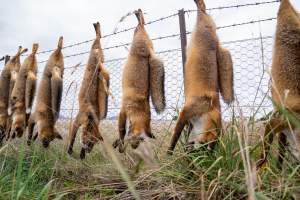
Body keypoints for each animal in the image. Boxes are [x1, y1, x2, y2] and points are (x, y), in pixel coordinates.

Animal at [67, 21, 109, 159]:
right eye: (90, 142)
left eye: (94, 144)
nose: (89, 150)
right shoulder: (76, 121)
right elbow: (72, 138)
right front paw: (70, 151)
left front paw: (81, 155)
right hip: (95, 51)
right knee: (97, 39)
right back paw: (97, 28)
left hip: (101, 56)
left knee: (99, 37)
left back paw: (97, 28)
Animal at [112, 9, 165, 153]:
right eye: (137, 139)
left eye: (141, 142)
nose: (134, 147)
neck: (138, 106)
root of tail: (149, 53)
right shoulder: (123, 111)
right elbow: (121, 131)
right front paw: (120, 144)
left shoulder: (124, 112)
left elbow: (121, 134)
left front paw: (118, 144)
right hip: (138, 41)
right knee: (141, 25)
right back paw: (138, 15)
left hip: (138, 37)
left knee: (140, 25)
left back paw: (138, 14)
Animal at [166, 0, 234, 154]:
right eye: (207, 144)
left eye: (211, 147)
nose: (208, 155)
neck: (207, 109)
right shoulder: (186, 111)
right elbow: (174, 137)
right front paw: (168, 153)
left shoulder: (189, 121)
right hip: (207, 25)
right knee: (202, 6)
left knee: (202, 8)